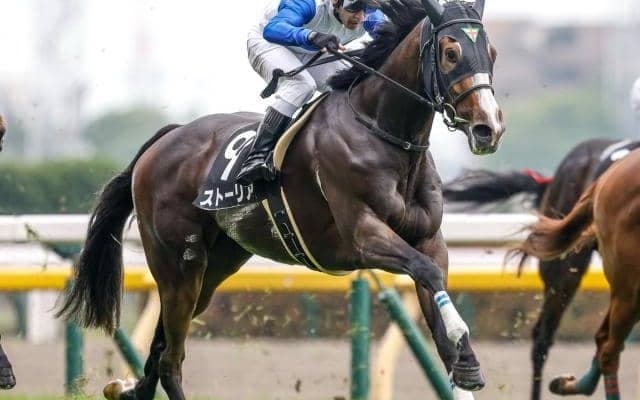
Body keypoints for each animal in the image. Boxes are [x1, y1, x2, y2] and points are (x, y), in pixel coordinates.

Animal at [57, 1, 505, 399]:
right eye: (450, 53)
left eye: (491, 53)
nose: (489, 127)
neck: (379, 131)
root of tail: (165, 138)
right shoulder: (363, 235)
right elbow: (426, 273)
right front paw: (462, 339)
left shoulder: (429, 239)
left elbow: (436, 295)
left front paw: (465, 363)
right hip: (177, 265)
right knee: (171, 361)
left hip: (214, 267)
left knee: (161, 348)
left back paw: (127, 389)